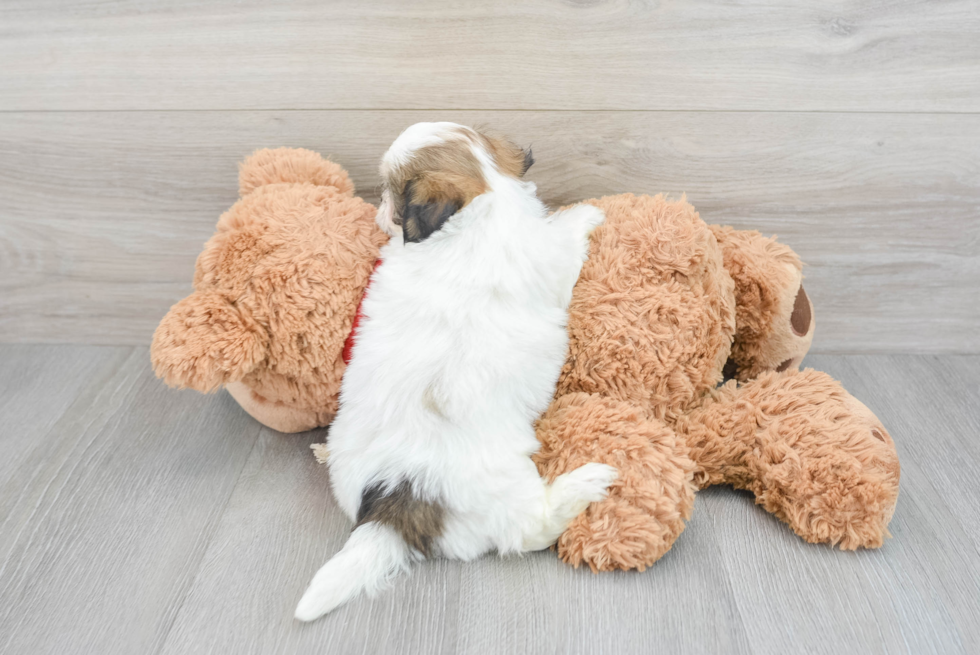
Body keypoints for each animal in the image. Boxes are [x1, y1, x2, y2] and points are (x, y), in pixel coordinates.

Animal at [294, 121, 616, 620]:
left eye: (391, 195)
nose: (377, 209)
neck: (484, 200)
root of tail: (397, 499)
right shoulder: (548, 260)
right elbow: (563, 241)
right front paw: (585, 214)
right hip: (505, 489)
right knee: (531, 529)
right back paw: (583, 484)